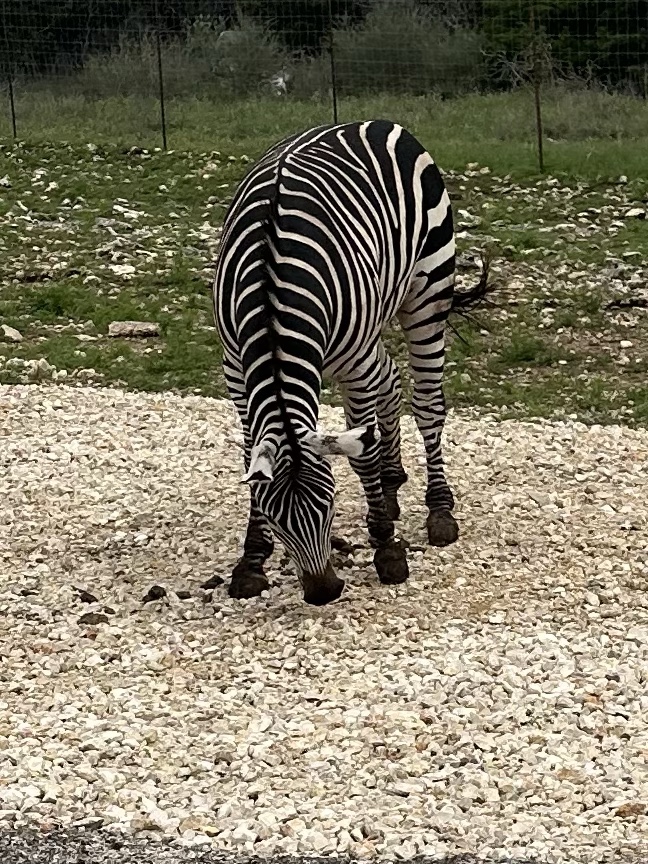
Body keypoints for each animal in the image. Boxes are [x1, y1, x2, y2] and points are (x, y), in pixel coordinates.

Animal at [213, 120, 488, 605]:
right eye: (275, 515)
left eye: (329, 503)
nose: (322, 592)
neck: (270, 296)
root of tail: (375, 122)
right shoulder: (235, 370)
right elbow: (251, 454)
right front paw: (251, 559)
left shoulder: (352, 363)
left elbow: (363, 455)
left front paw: (387, 549)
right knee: (390, 381)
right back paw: (392, 482)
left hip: (427, 292)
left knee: (428, 406)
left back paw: (439, 510)